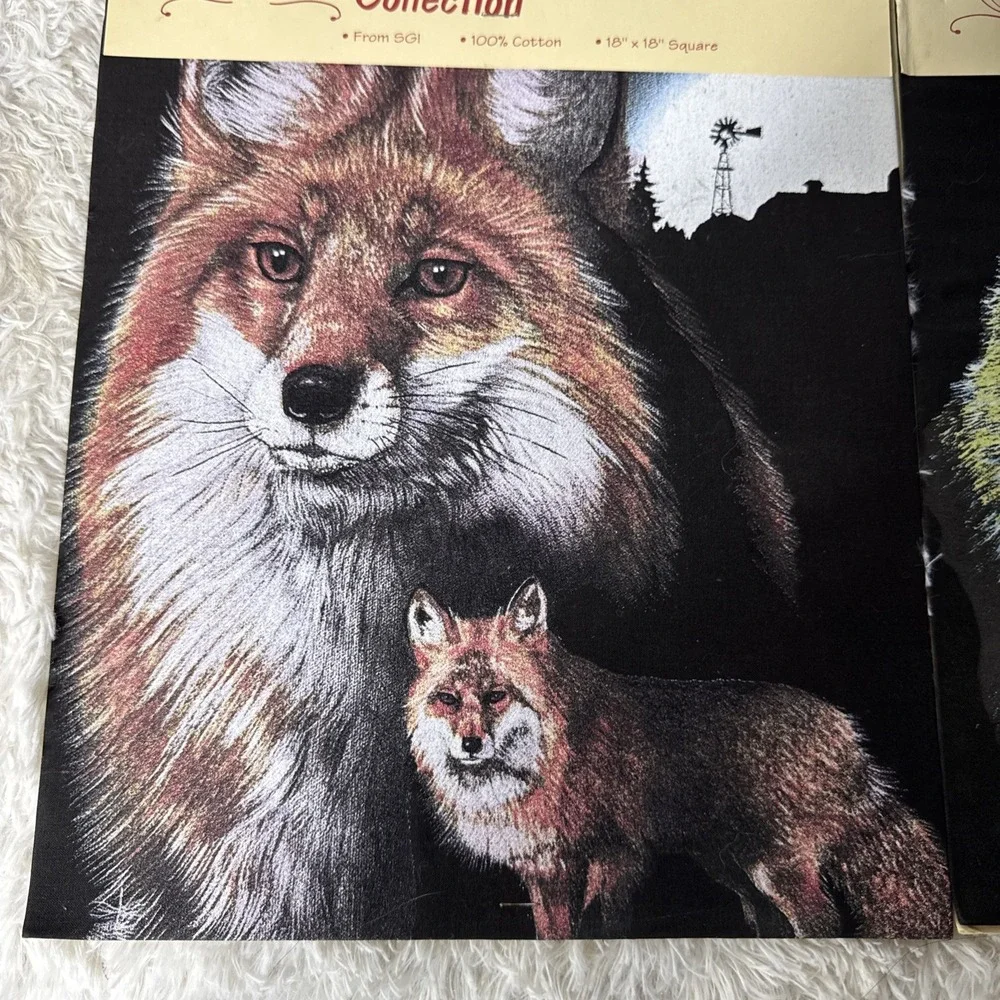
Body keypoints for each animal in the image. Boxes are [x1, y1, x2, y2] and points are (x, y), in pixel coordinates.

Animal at [407, 578, 952, 939]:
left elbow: (603, 933)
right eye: (449, 699)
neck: (546, 765)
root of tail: (845, 728)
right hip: (736, 872)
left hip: (772, 869)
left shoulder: (614, 858)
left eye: (497, 695)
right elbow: (553, 939)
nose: (471, 745)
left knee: (824, 925)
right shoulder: (543, 869)